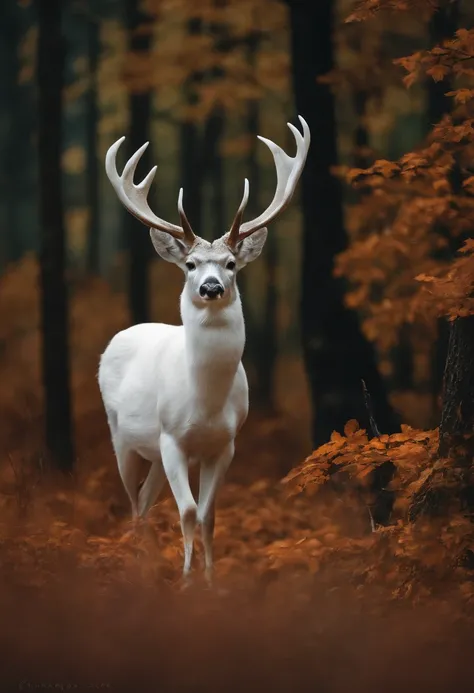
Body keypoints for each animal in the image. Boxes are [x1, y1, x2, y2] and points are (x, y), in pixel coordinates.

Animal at [98, 116, 310, 580]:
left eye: (231, 264)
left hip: (152, 453)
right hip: (122, 437)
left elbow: (209, 514)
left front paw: (211, 582)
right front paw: (186, 581)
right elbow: (188, 512)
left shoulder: (225, 444)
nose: (210, 287)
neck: (205, 401)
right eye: (191, 265)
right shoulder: (171, 439)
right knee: (134, 505)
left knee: (144, 502)